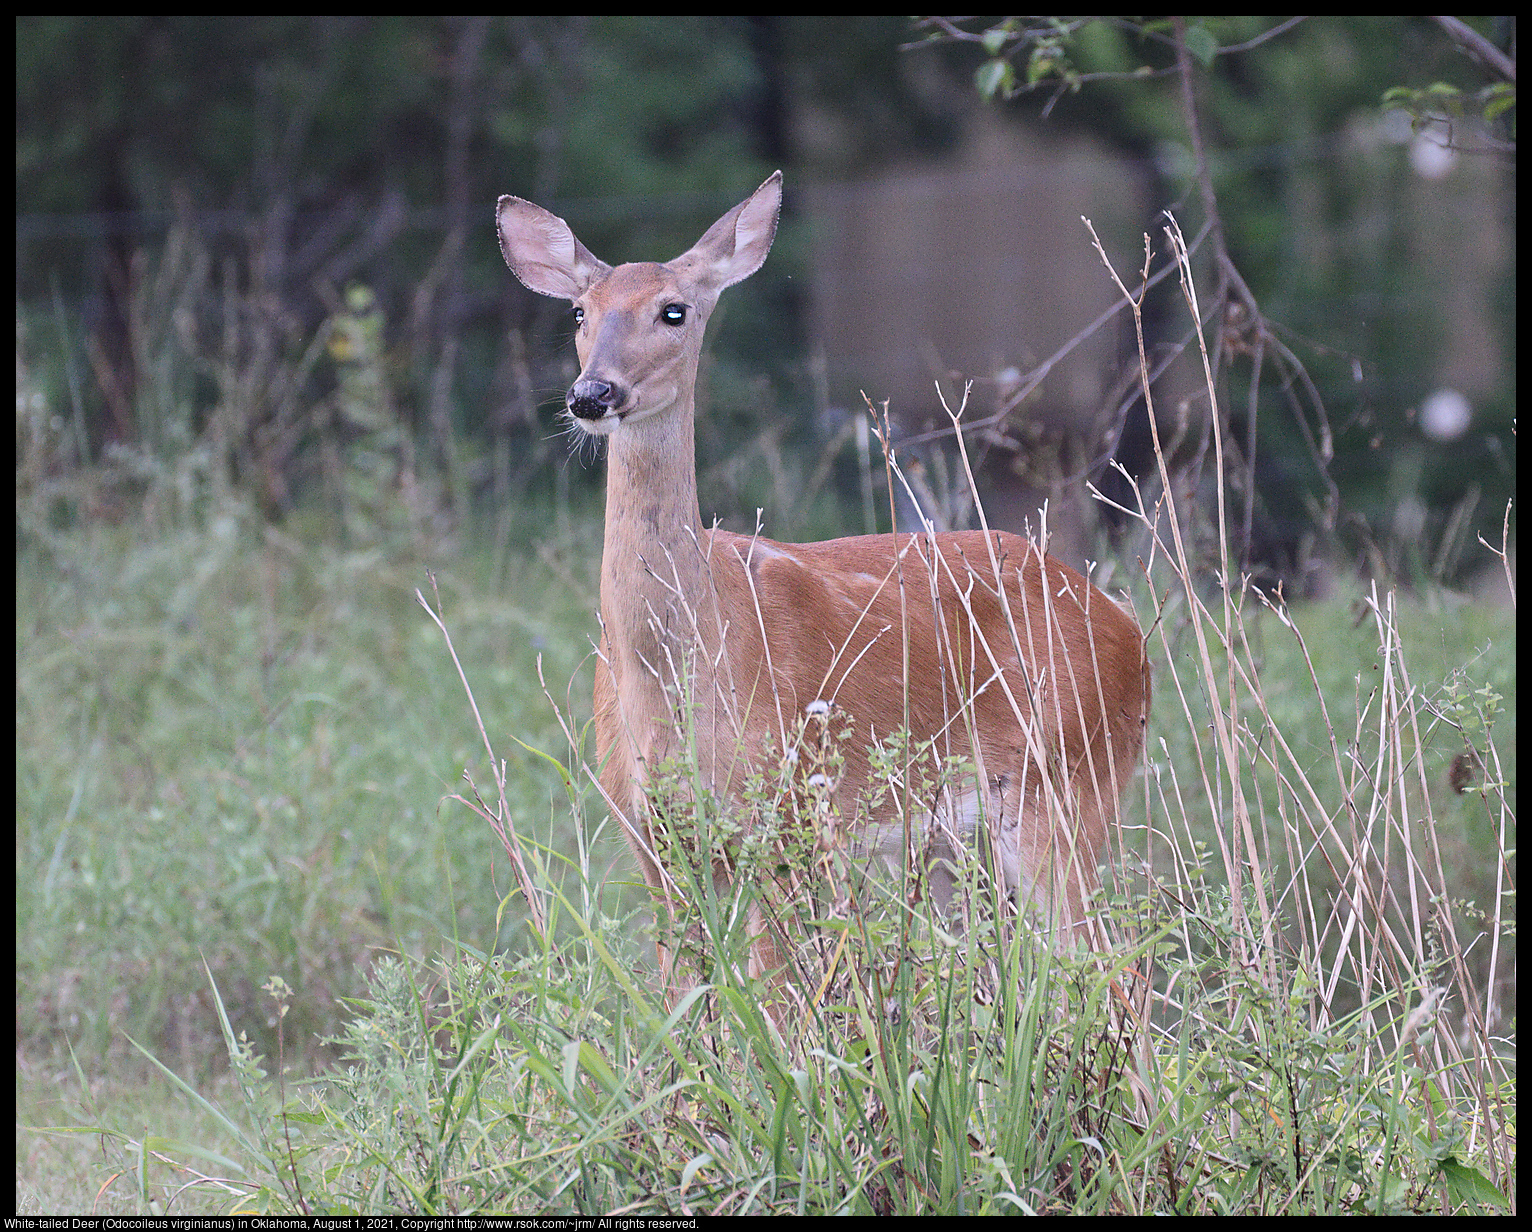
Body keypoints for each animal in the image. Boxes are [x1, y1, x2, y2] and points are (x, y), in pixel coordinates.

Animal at [493, 170, 1152, 1017]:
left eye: (674, 309)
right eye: (580, 311)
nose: (592, 393)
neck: (680, 668)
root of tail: (1127, 629)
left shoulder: (787, 820)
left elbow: (782, 1005)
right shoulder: (649, 837)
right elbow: (686, 1013)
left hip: (1066, 788)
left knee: (1118, 975)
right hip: (958, 841)